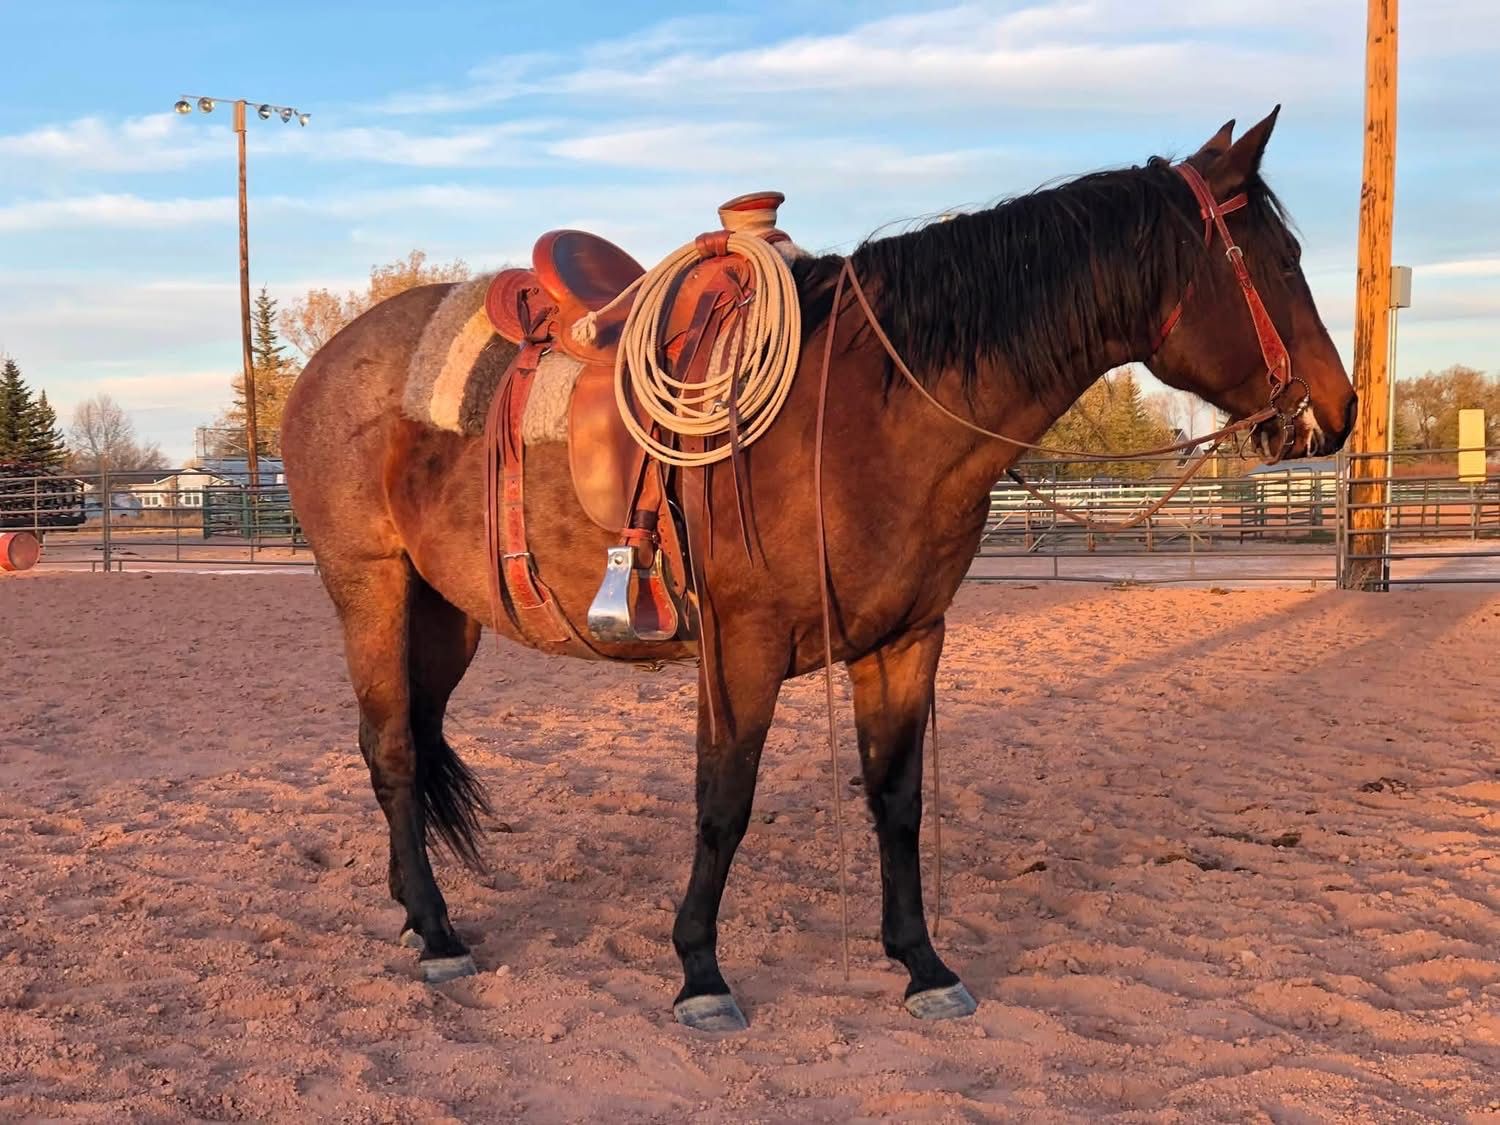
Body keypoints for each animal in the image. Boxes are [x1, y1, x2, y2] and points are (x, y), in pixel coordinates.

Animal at [280, 108, 1358, 1031]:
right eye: (1284, 260)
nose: (1340, 412)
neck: (868, 418)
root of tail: (332, 358)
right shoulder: (742, 647)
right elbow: (724, 804)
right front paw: (700, 974)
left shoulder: (906, 639)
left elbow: (896, 799)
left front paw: (922, 963)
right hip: (370, 589)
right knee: (390, 750)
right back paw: (438, 936)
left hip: (446, 612)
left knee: (413, 746)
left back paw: (419, 912)